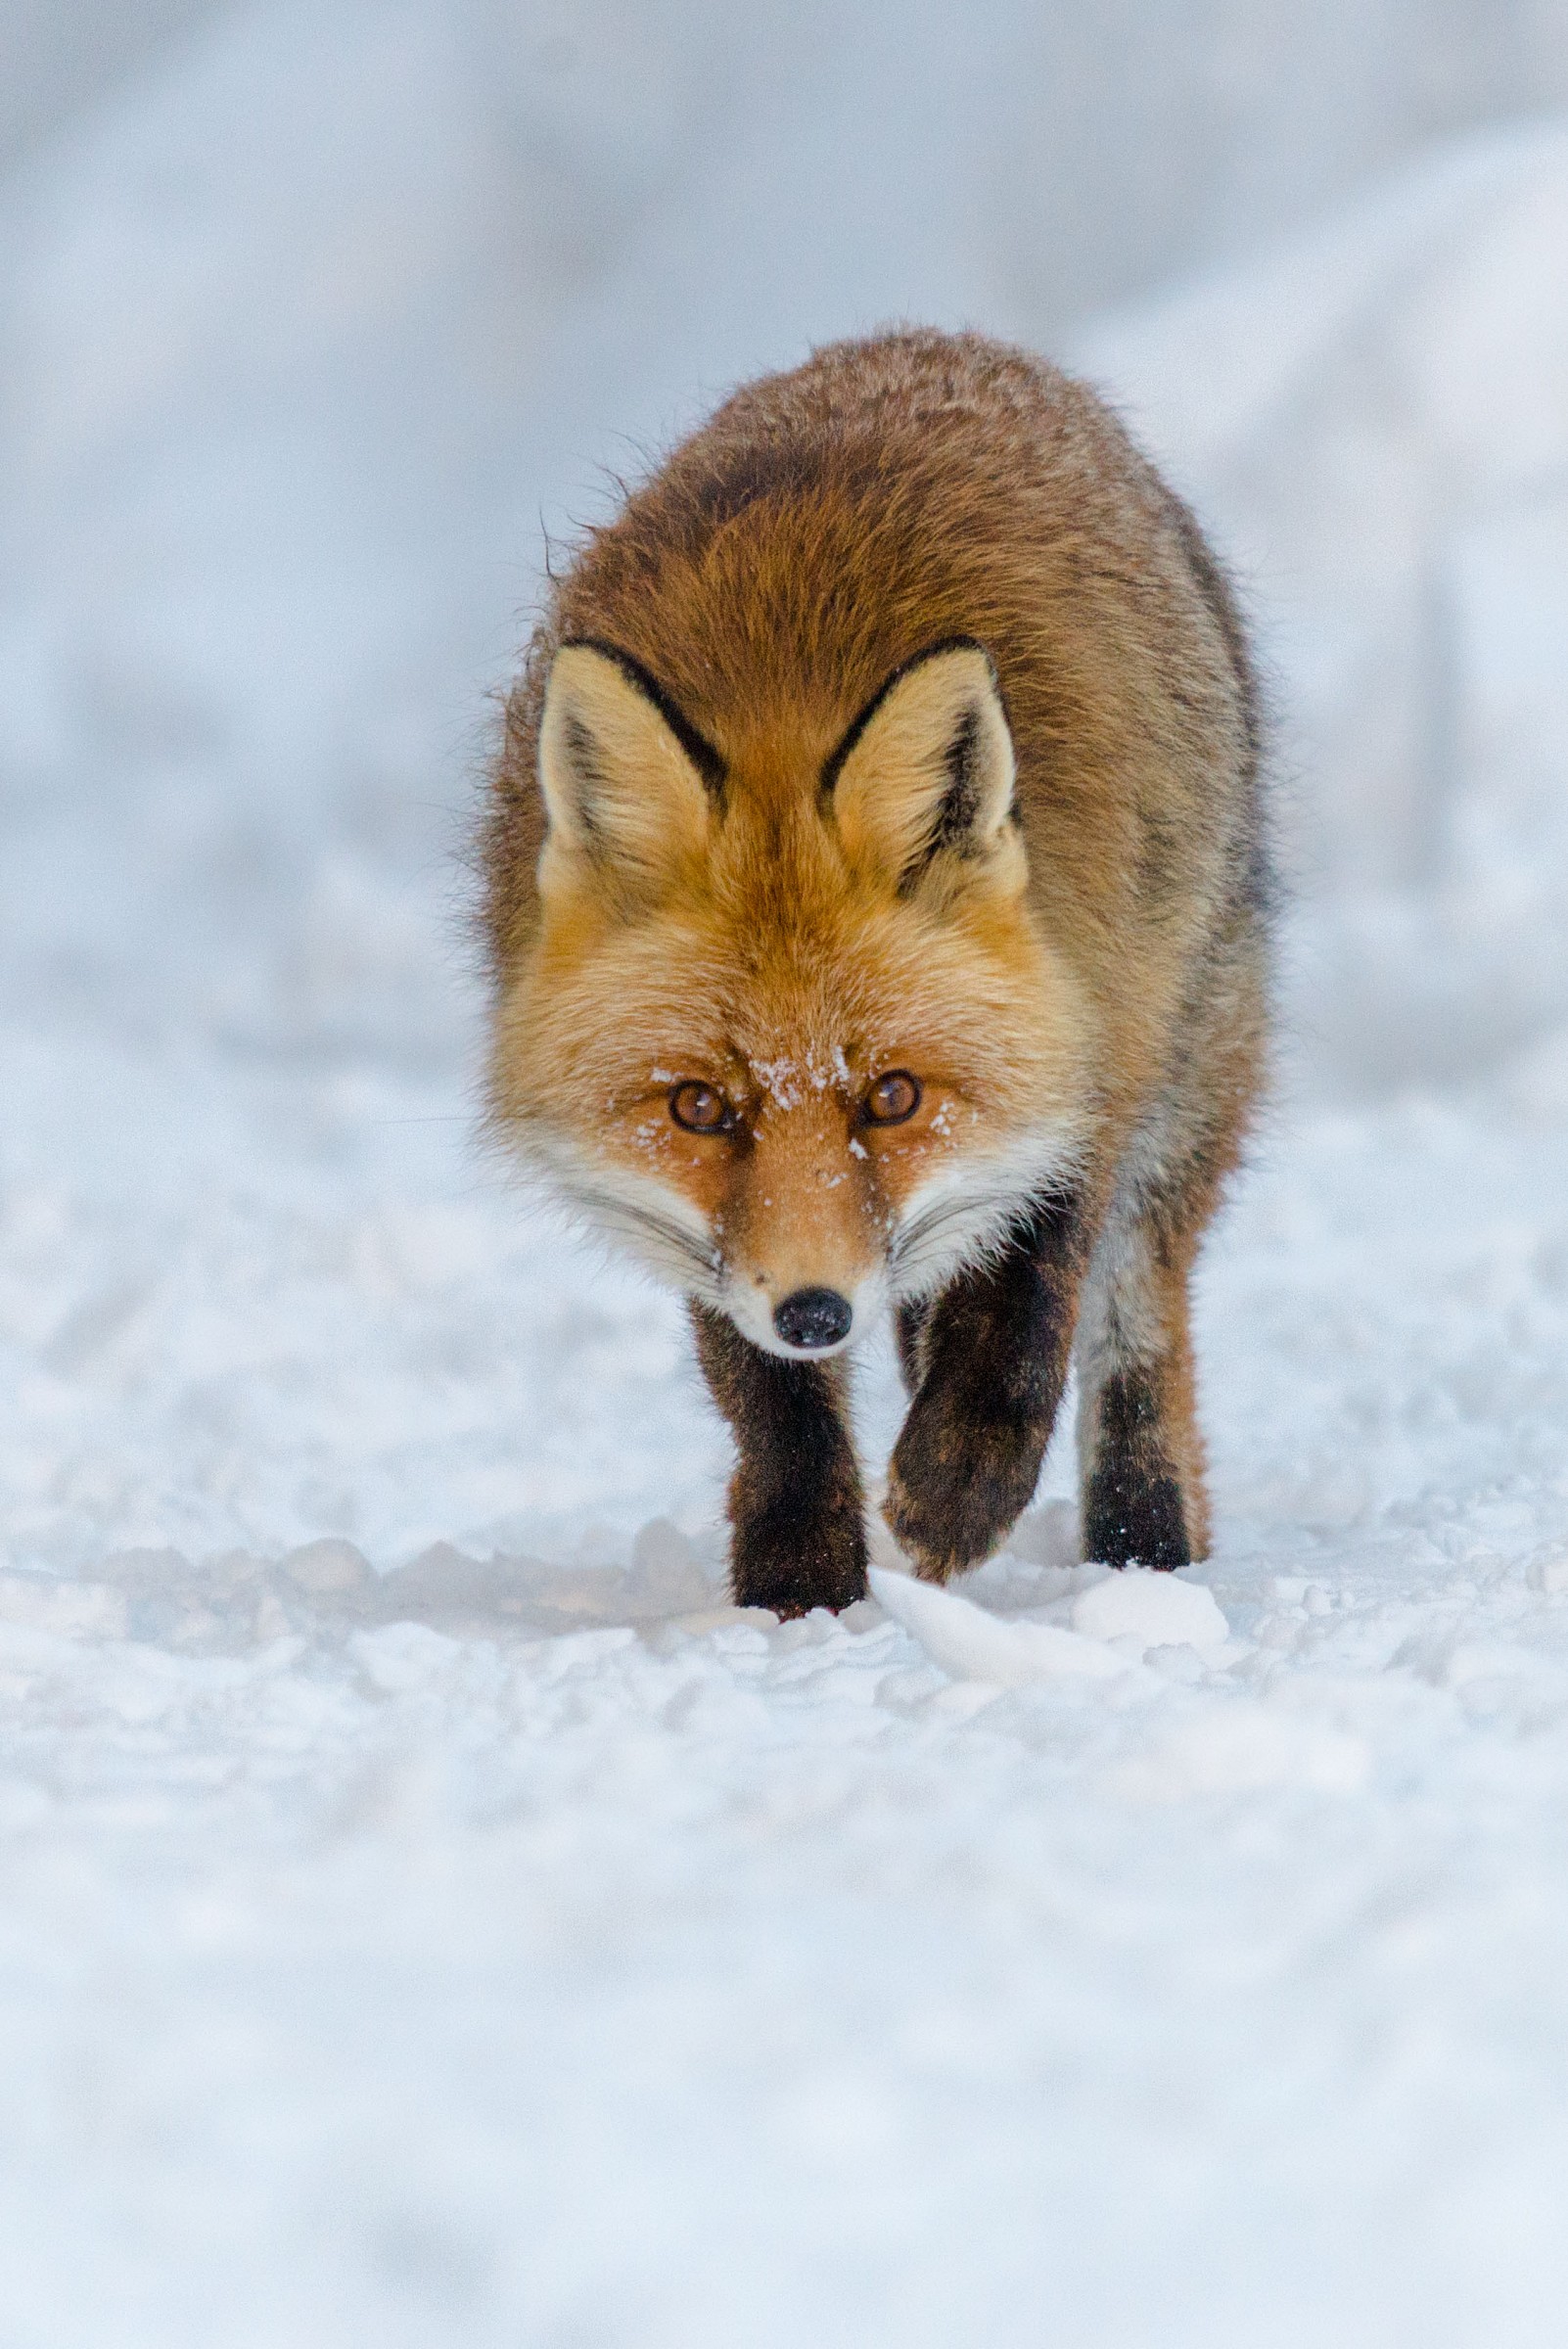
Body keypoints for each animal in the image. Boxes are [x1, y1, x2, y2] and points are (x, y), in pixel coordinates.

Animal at [481, 329, 1271, 1617]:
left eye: (892, 1096)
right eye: (698, 1109)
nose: (816, 1311)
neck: (783, 692)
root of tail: (939, 342)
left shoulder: (1091, 1041)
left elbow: (1026, 1305)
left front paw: (959, 1492)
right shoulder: (719, 1243)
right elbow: (769, 1399)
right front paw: (799, 1587)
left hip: (1193, 1060)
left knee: (1137, 1326)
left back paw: (1144, 1544)